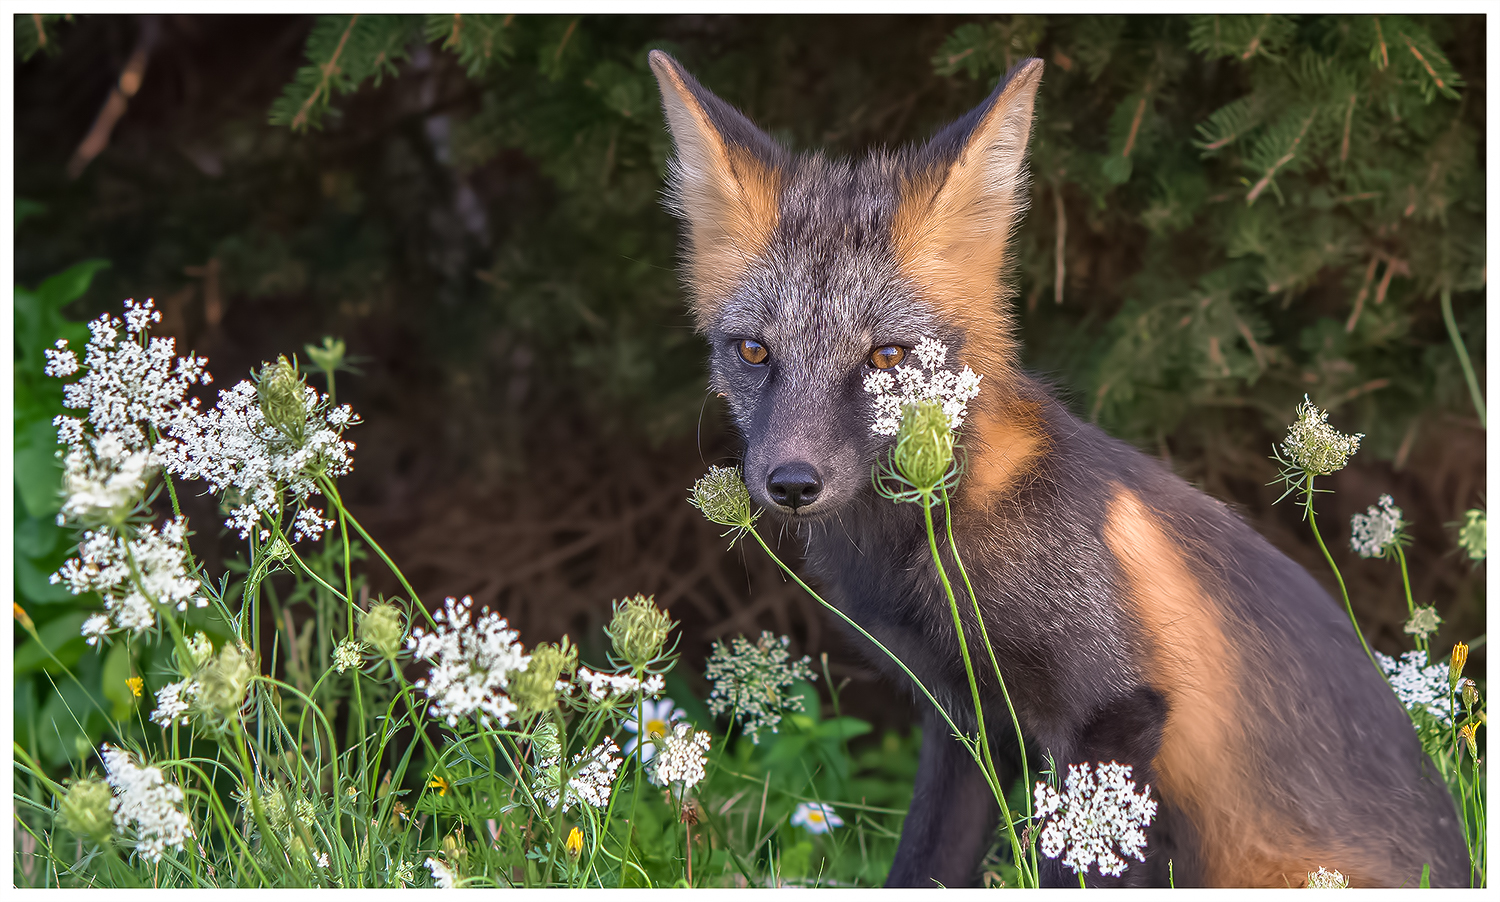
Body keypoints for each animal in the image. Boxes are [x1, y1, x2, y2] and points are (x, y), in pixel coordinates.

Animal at [645, 50, 1470, 888]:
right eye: (754, 351)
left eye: (886, 357)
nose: (790, 483)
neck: (942, 539)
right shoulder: (967, 722)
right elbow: (925, 862)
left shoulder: (1117, 711)